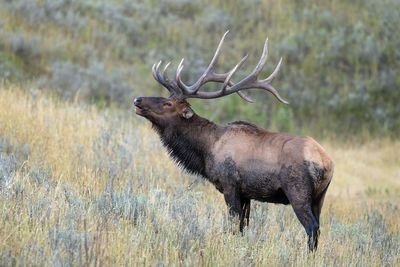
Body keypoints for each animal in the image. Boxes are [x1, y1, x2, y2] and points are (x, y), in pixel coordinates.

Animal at [134, 32, 334, 252]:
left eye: (168, 103)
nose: (138, 100)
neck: (206, 150)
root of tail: (327, 162)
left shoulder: (230, 185)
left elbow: (233, 226)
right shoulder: (246, 194)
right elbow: (244, 226)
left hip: (298, 192)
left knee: (312, 228)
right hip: (320, 196)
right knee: (318, 228)